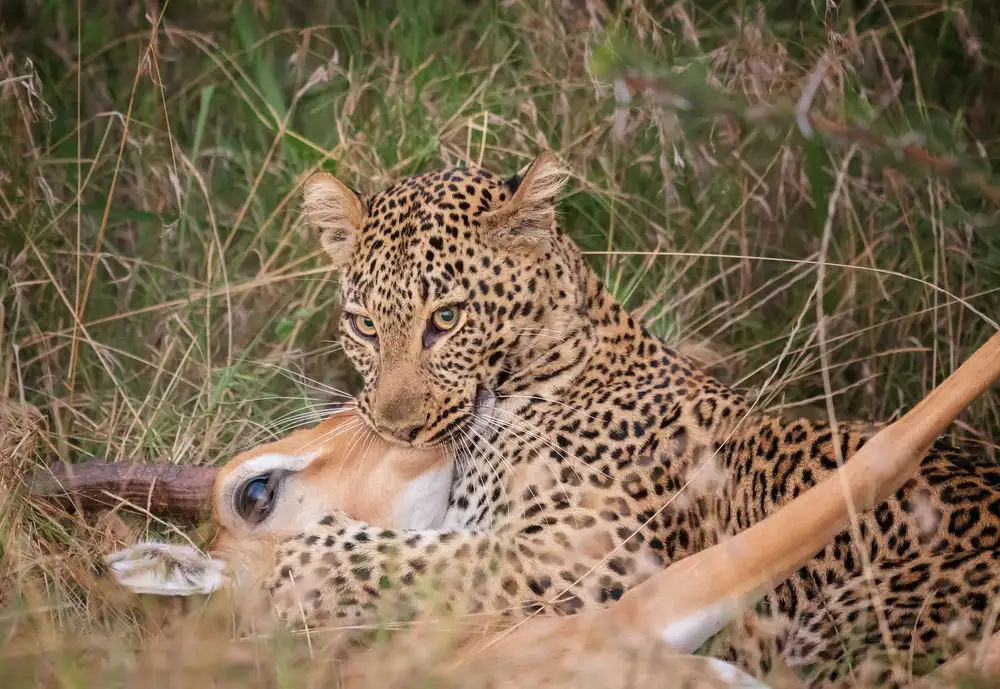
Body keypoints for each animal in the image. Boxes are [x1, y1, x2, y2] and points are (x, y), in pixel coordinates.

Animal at [266, 151, 1000, 687]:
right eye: (364, 325)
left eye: (445, 319)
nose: (396, 429)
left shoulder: (580, 556)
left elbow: (428, 555)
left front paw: (299, 557)